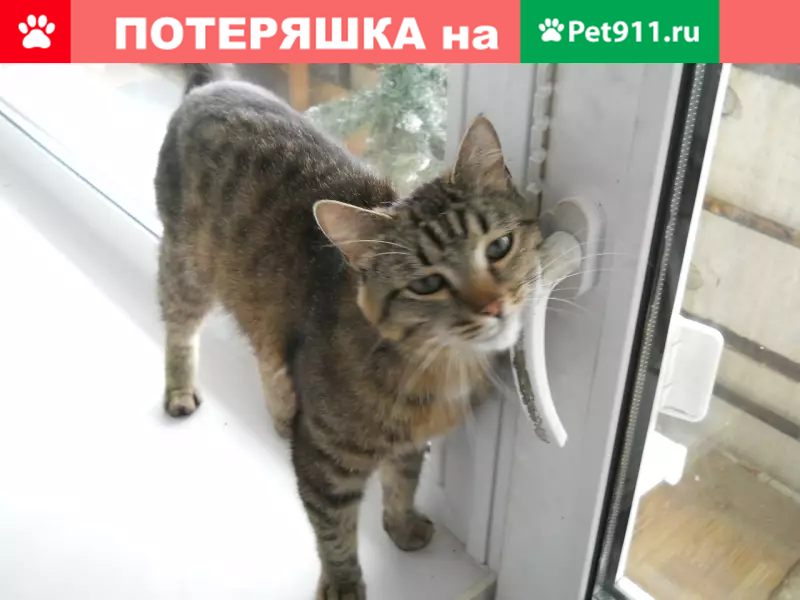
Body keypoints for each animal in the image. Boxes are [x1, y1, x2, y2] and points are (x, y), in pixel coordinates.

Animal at [155, 64, 542, 600]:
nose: (493, 305)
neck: (430, 363)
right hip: (186, 267)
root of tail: (211, 84)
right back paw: (180, 389)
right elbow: (334, 531)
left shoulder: (407, 443)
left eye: (499, 246)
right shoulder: (324, 461)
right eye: (427, 283)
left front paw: (401, 525)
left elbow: (402, 482)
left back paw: (282, 411)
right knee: (178, 329)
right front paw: (342, 583)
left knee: (266, 351)